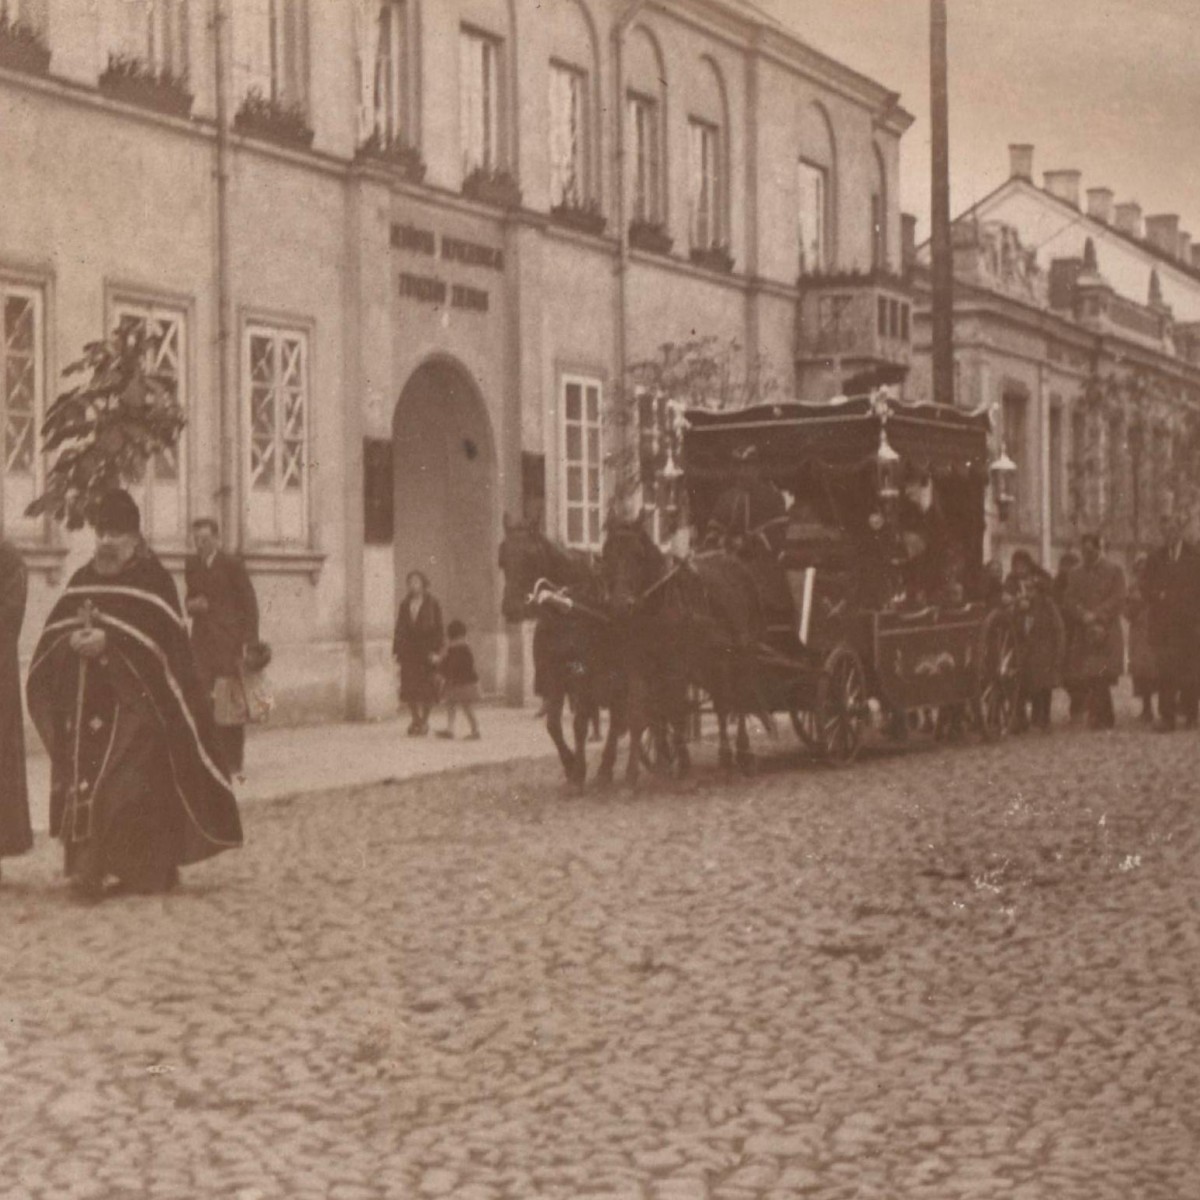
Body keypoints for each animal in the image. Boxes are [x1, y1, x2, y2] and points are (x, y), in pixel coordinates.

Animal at [496, 516, 628, 787]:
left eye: (530, 556)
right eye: (502, 557)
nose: (512, 608)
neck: (567, 607)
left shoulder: (584, 678)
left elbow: (579, 724)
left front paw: (578, 772)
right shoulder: (553, 676)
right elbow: (553, 725)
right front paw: (570, 765)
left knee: (621, 716)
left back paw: (607, 767)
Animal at [604, 511, 763, 782]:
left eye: (638, 555)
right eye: (607, 555)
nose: (620, 606)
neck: (654, 605)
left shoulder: (676, 666)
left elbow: (675, 710)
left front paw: (683, 765)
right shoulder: (637, 664)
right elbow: (639, 713)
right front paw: (633, 774)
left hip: (742, 654)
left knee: (738, 699)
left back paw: (743, 754)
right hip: (714, 662)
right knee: (722, 703)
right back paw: (725, 758)